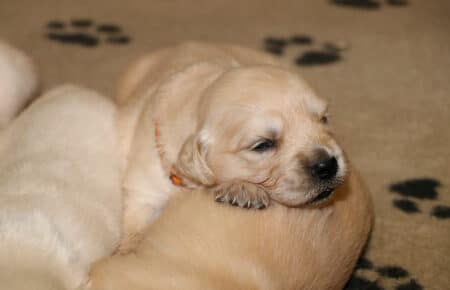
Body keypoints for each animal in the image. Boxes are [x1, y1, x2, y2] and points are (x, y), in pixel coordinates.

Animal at [116, 42, 348, 253]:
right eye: (263, 145)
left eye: (324, 119)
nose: (328, 165)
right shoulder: (143, 191)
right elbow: (136, 223)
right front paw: (128, 250)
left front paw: (242, 189)